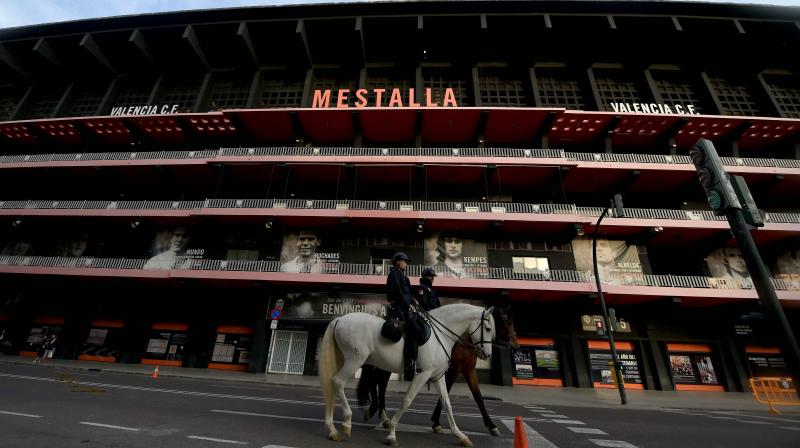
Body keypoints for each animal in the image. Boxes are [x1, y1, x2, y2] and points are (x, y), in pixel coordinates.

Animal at [318, 302, 494, 446]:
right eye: (488, 329)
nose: (487, 354)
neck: (441, 336)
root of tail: (340, 319)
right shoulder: (422, 374)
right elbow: (407, 400)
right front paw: (392, 433)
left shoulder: (438, 376)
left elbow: (447, 403)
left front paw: (460, 435)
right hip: (355, 360)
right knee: (338, 382)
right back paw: (346, 422)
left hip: (350, 360)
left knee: (336, 385)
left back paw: (333, 429)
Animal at [356, 306, 520, 436]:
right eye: (506, 321)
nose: (516, 345)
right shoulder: (452, 371)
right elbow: (445, 394)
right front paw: (436, 422)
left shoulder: (468, 370)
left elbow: (478, 397)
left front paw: (492, 426)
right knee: (379, 383)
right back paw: (378, 413)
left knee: (377, 382)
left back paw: (378, 413)